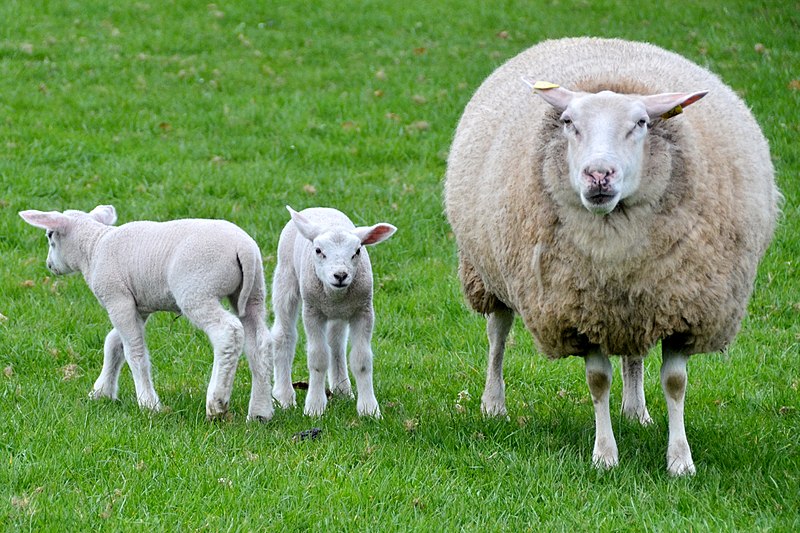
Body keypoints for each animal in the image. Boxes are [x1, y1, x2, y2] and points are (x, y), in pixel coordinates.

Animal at [19, 204, 276, 420]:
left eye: (49, 236)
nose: (49, 265)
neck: (93, 247)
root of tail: (243, 248)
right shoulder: (138, 306)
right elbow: (114, 344)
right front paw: (101, 391)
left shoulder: (117, 299)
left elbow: (135, 352)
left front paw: (149, 404)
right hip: (253, 292)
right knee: (259, 341)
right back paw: (260, 412)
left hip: (197, 290)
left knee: (228, 332)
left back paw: (217, 403)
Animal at [270, 206, 396, 418]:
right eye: (318, 251)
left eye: (357, 251)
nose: (340, 275)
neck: (335, 294)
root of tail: (318, 207)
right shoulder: (312, 312)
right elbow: (318, 358)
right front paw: (314, 408)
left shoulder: (363, 311)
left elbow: (362, 360)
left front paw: (369, 410)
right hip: (285, 277)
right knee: (284, 335)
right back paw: (284, 397)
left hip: (339, 313)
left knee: (336, 342)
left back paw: (342, 389)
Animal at [440, 38, 780, 478]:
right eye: (569, 122)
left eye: (642, 123)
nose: (598, 174)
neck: (614, 251)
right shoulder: (579, 313)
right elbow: (598, 381)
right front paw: (605, 456)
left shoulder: (681, 309)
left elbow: (675, 383)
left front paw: (680, 460)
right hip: (488, 273)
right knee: (497, 337)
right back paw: (493, 403)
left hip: (637, 304)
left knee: (633, 355)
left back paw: (636, 411)